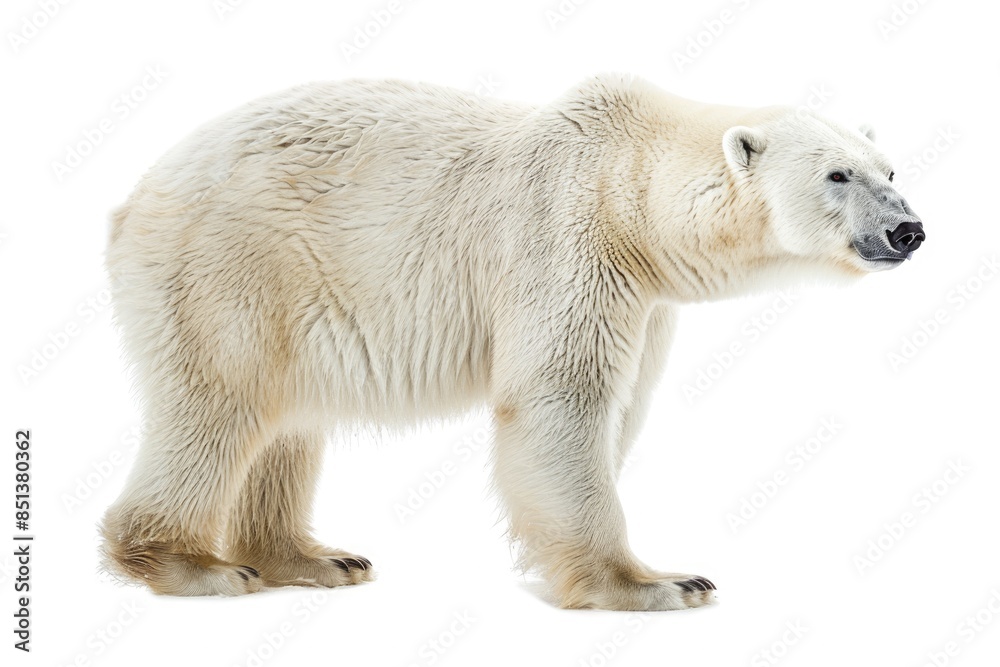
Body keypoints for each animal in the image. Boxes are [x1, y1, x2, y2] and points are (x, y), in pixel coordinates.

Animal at [100, 74, 925, 609]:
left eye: (890, 168)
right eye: (837, 174)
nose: (907, 229)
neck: (626, 185)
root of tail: (134, 196)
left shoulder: (646, 299)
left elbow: (619, 409)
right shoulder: (568, 242)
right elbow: (559, 401)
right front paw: (657, 582)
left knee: (286, 421)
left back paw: (315, 557)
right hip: (231, 264)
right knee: (219, 404)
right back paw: (194, 566)